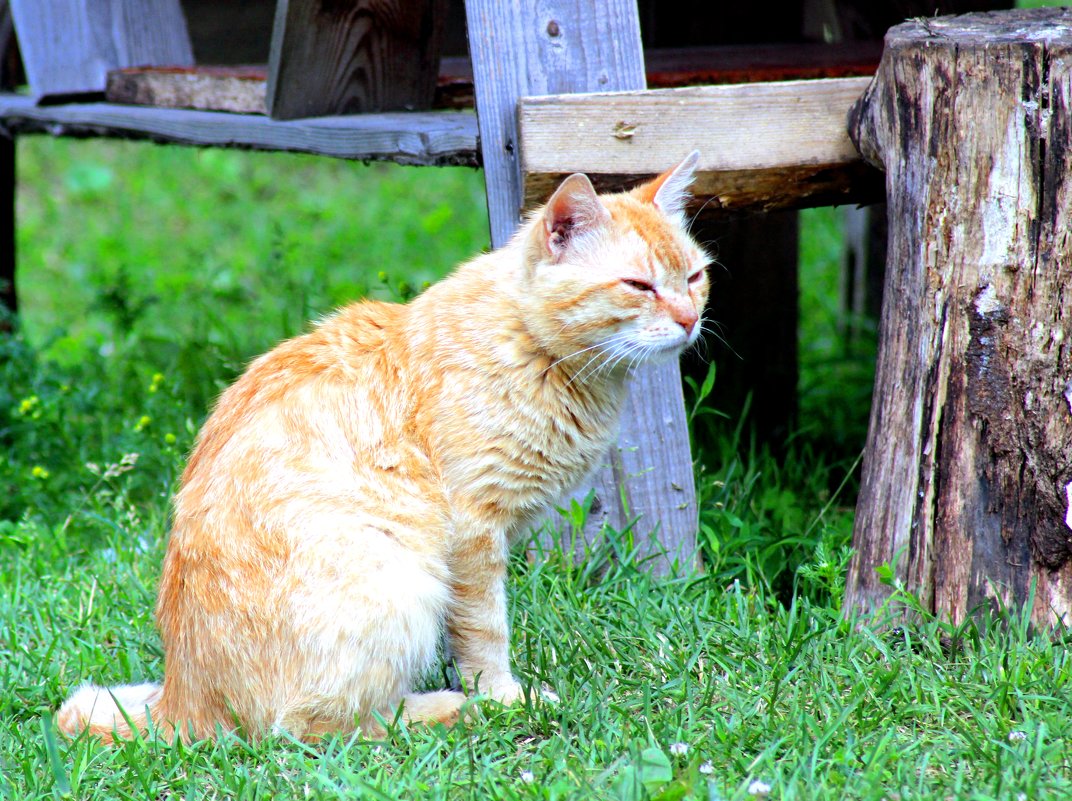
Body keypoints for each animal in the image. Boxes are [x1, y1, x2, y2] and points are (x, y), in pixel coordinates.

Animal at [58, 152, 711, 746]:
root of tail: (184, 700)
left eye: (694, 277)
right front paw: (501, 697)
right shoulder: (474, 532)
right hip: (397, 585)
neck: (530, 346)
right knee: (318, 728)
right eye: (638, 285)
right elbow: (484, 632)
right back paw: (449, 708)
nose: (688, 319)